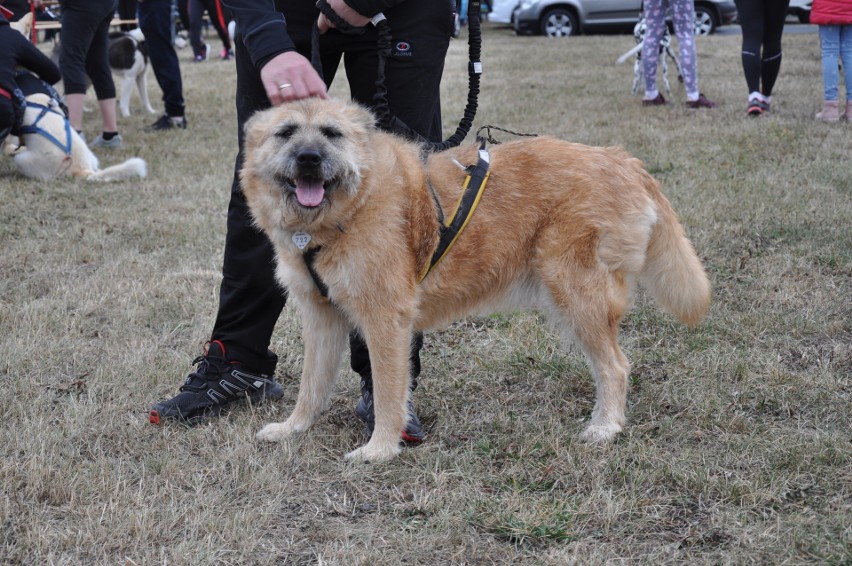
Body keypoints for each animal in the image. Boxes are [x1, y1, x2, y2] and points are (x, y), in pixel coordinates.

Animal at [240, 97, 712, 464]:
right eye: (285, 133)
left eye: (331, 133)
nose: (309, 158)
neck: (346, 213)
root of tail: (622, 159)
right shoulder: (321, 318)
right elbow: (311, 387)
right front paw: (293, 428)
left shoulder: (386, 322)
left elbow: (389, 392)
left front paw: (381, 448)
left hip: (578, 298)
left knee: (615, 366)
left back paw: (606, 426)